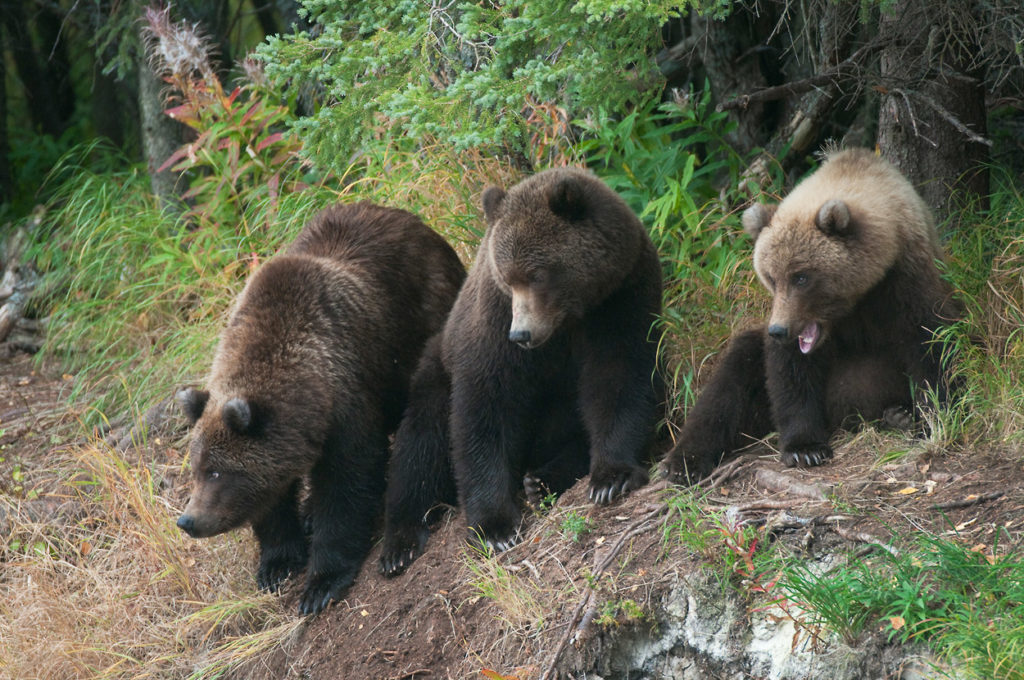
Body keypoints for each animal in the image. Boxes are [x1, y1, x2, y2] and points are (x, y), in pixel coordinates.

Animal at [175, 200, 464, 610]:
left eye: (216, 472)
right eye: (196, 468)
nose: (188, 520)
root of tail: (413, 220)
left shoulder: (346, 403)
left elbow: (347, 483)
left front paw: (320, 584)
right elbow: (273, 501)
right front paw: (277, 565)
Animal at [380, 165, 659, 573]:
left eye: (537, 274)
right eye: (508, 279)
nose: (522, 334)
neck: (566, 320)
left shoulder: (620, 297)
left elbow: (619, 376)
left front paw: (611, 478)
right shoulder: (493, 326)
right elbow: (485, 408)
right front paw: (496, 527)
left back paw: (541, 480)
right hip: (435, 368)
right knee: (420, 444)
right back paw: (399, 542)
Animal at [663, 148, 958, 477]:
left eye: (801, 277)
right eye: (770, 276)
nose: (779, 330)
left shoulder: (905, 278)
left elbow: (930, 341)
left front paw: (932, 419)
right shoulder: (795, 324)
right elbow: (791, 373)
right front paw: (805, 448)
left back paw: (898, 413)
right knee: (729, 380)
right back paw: (683, 460)